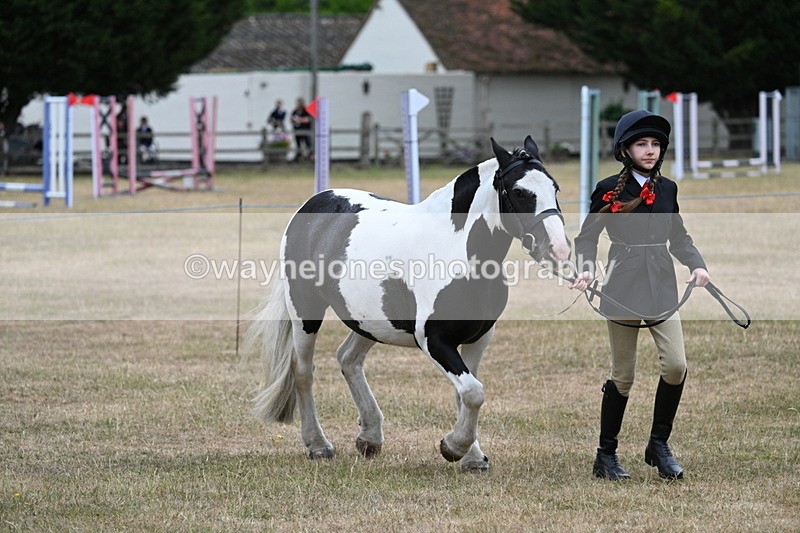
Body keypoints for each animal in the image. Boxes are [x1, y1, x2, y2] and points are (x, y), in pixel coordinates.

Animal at [246, 136, 571, 471]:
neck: (457, 250)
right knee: (303, 371)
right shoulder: (434, 340)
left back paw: (370, 437)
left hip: (370, 321)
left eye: (555, 188)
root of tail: (314, 204)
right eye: (519, 192)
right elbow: (473, 392)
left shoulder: (479, 338)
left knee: (348, 359)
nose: (558, 249)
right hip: (305, 312)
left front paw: (472, 457)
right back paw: (318, 445)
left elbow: (466, 394)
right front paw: (453, 447)